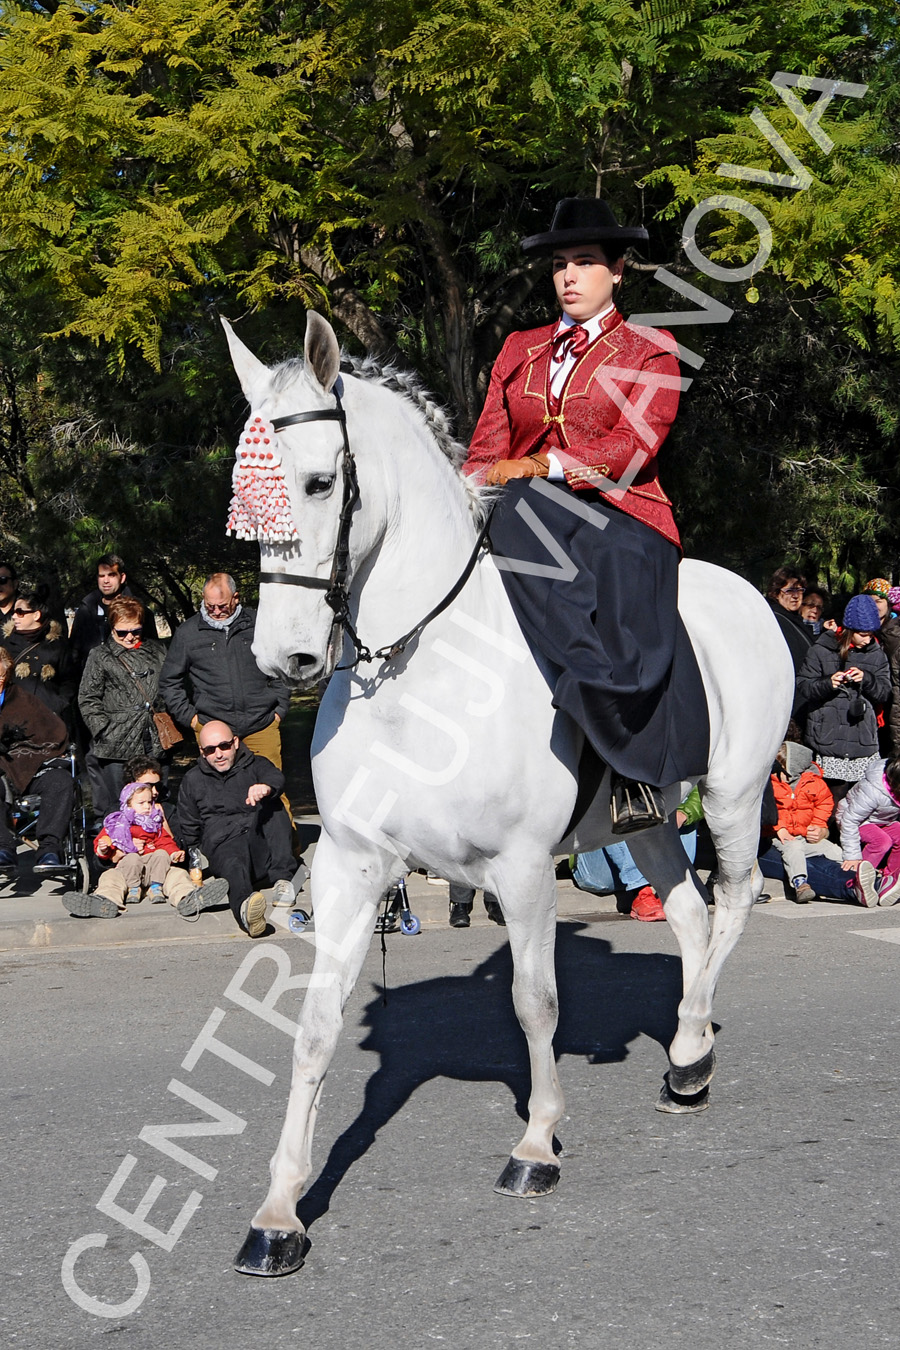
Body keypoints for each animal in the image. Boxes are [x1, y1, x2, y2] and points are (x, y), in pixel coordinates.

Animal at [221, 313, 793, 1274]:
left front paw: (536, 1145)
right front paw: (279, 1212)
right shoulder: (348, 865)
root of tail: (750, 593)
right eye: (243, 496)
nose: (282, 658)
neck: (416, 671)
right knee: (687, 912)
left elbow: (536, 1000)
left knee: (737, 899)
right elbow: (316, 1024)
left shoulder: (521, 869)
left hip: (733, 793)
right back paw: (688, 1049)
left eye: (319, 481)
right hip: (645, 820)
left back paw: (687, 1051)